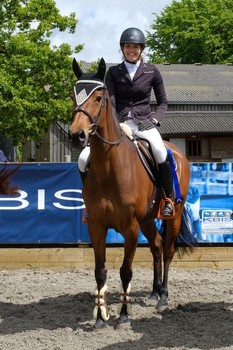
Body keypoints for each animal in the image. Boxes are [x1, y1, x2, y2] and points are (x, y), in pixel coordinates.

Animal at [69, 58, 193, 330]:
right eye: (73, 97)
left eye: (99, 98)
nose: (76, 135)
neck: (109, 168)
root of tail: (177, 151)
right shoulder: (96, 226)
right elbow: (100, 271)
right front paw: (100, 318)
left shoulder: (130, 228)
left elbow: (125, 271)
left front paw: (123, 316)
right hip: (147, 220)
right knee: (156, 246)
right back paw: (154, 292)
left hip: (174, 214)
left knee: (167, 250)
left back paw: (163, 297)